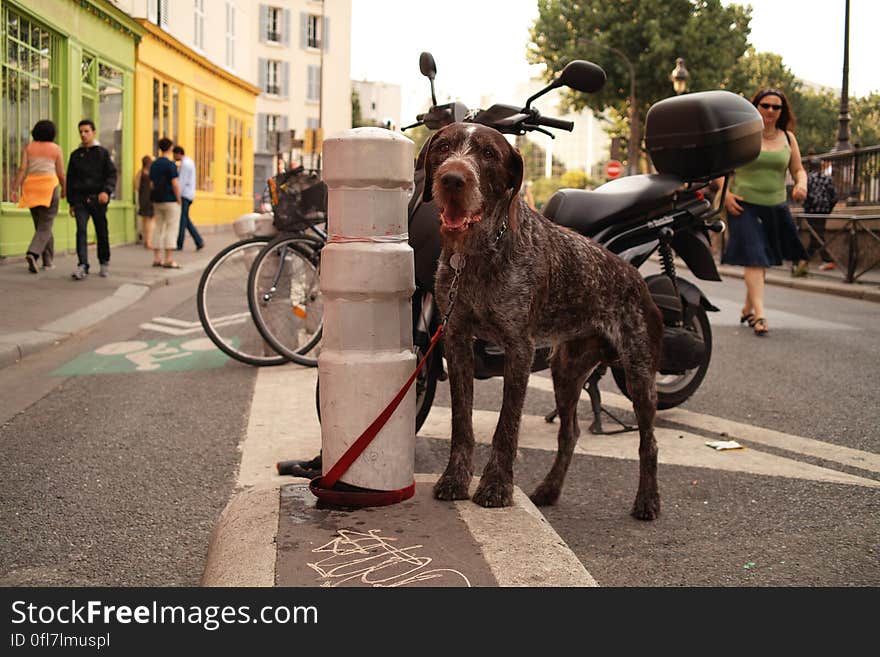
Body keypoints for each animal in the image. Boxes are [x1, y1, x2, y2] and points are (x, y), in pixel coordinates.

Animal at [422, 123, 664, 516]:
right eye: (443, 147)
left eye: (488, 154)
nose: (452, 179)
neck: (480, 254)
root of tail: (637, 279)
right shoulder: (456, 341)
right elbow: (462, 422)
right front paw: (455, 479)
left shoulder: (518, 349)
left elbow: (507, 425)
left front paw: (496, 486)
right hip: (565, 372)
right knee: (570, 433)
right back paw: (550, 489)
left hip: (640, 374)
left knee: (649, 442)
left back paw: (648, 500)